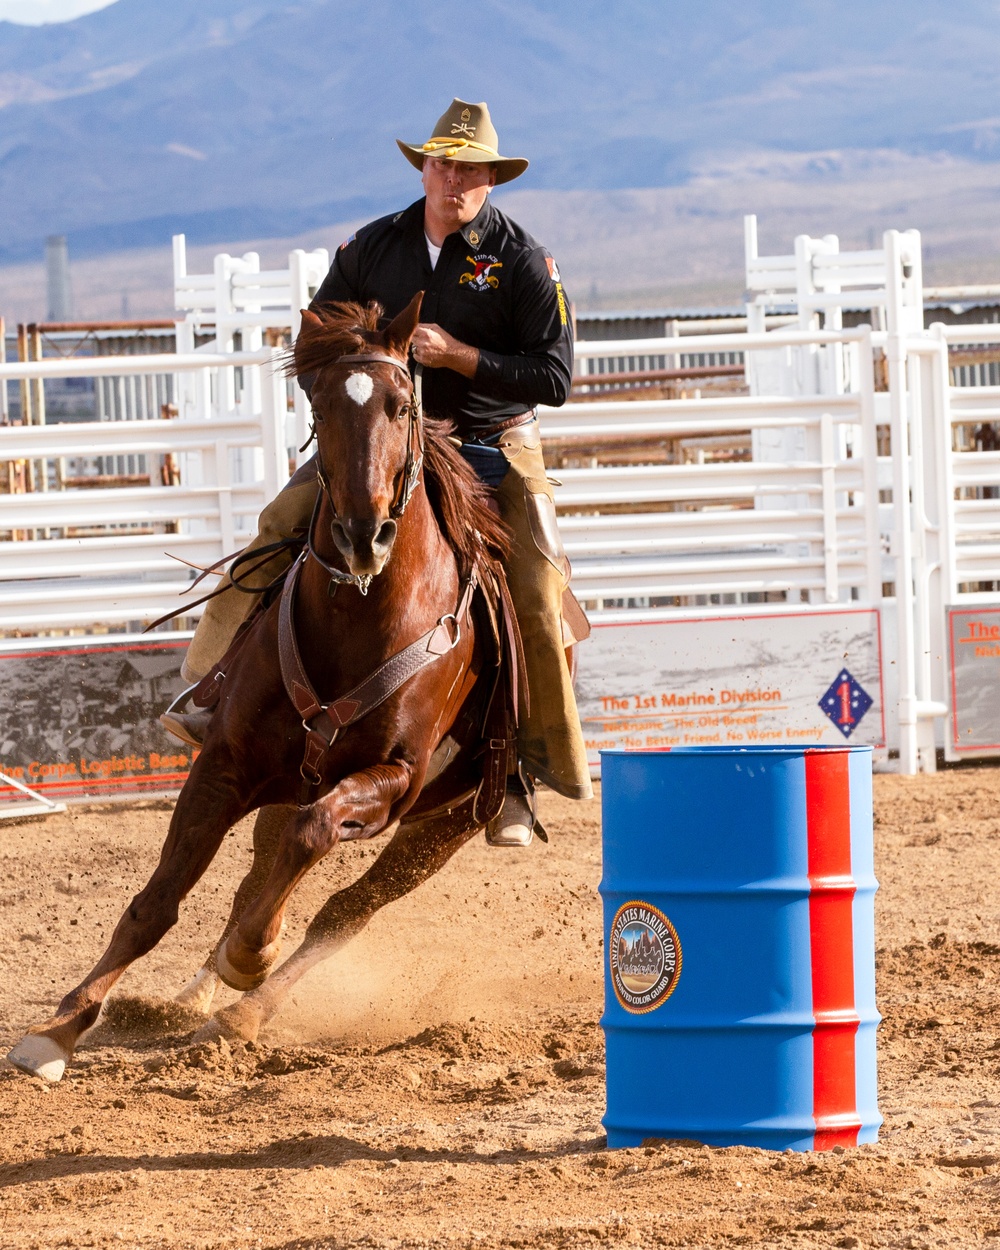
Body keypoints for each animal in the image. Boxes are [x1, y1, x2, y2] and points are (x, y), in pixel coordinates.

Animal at [9, 295, 515, 1085]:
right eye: (320, 405)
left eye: (403, 405)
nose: (364, 534)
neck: (359, 620)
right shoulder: (226, 765)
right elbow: (157, 902)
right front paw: (58, 1029)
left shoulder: (393, 781)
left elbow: (311, 851)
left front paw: (252, 954)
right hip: (286, 788)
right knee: (263, 874)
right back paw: (189, 999)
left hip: (447, 823)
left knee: (342, 910)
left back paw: (242, 1009)